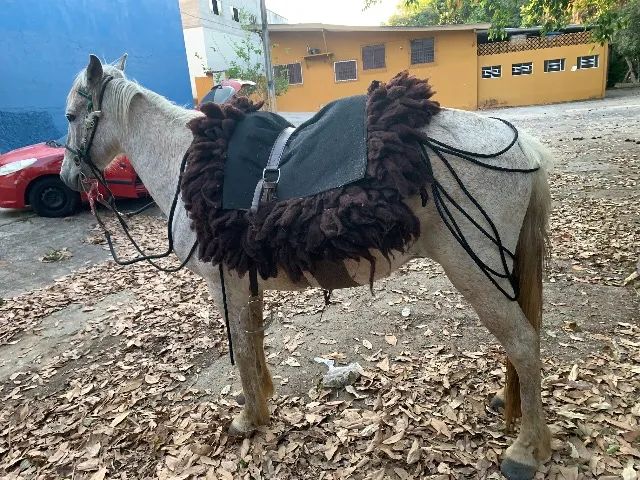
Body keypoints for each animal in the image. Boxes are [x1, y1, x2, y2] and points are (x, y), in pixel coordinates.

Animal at [60, 55, 553, 480]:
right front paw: (262, 404)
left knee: (523, 342)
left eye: (70, 116)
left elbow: (242, 347)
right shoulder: (246, 283)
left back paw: (526, 450)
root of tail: (523, 148)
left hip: (477, 271)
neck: (187, 163)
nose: (67, 177)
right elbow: (255, 340)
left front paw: (248, 418)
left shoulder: (226, 285)